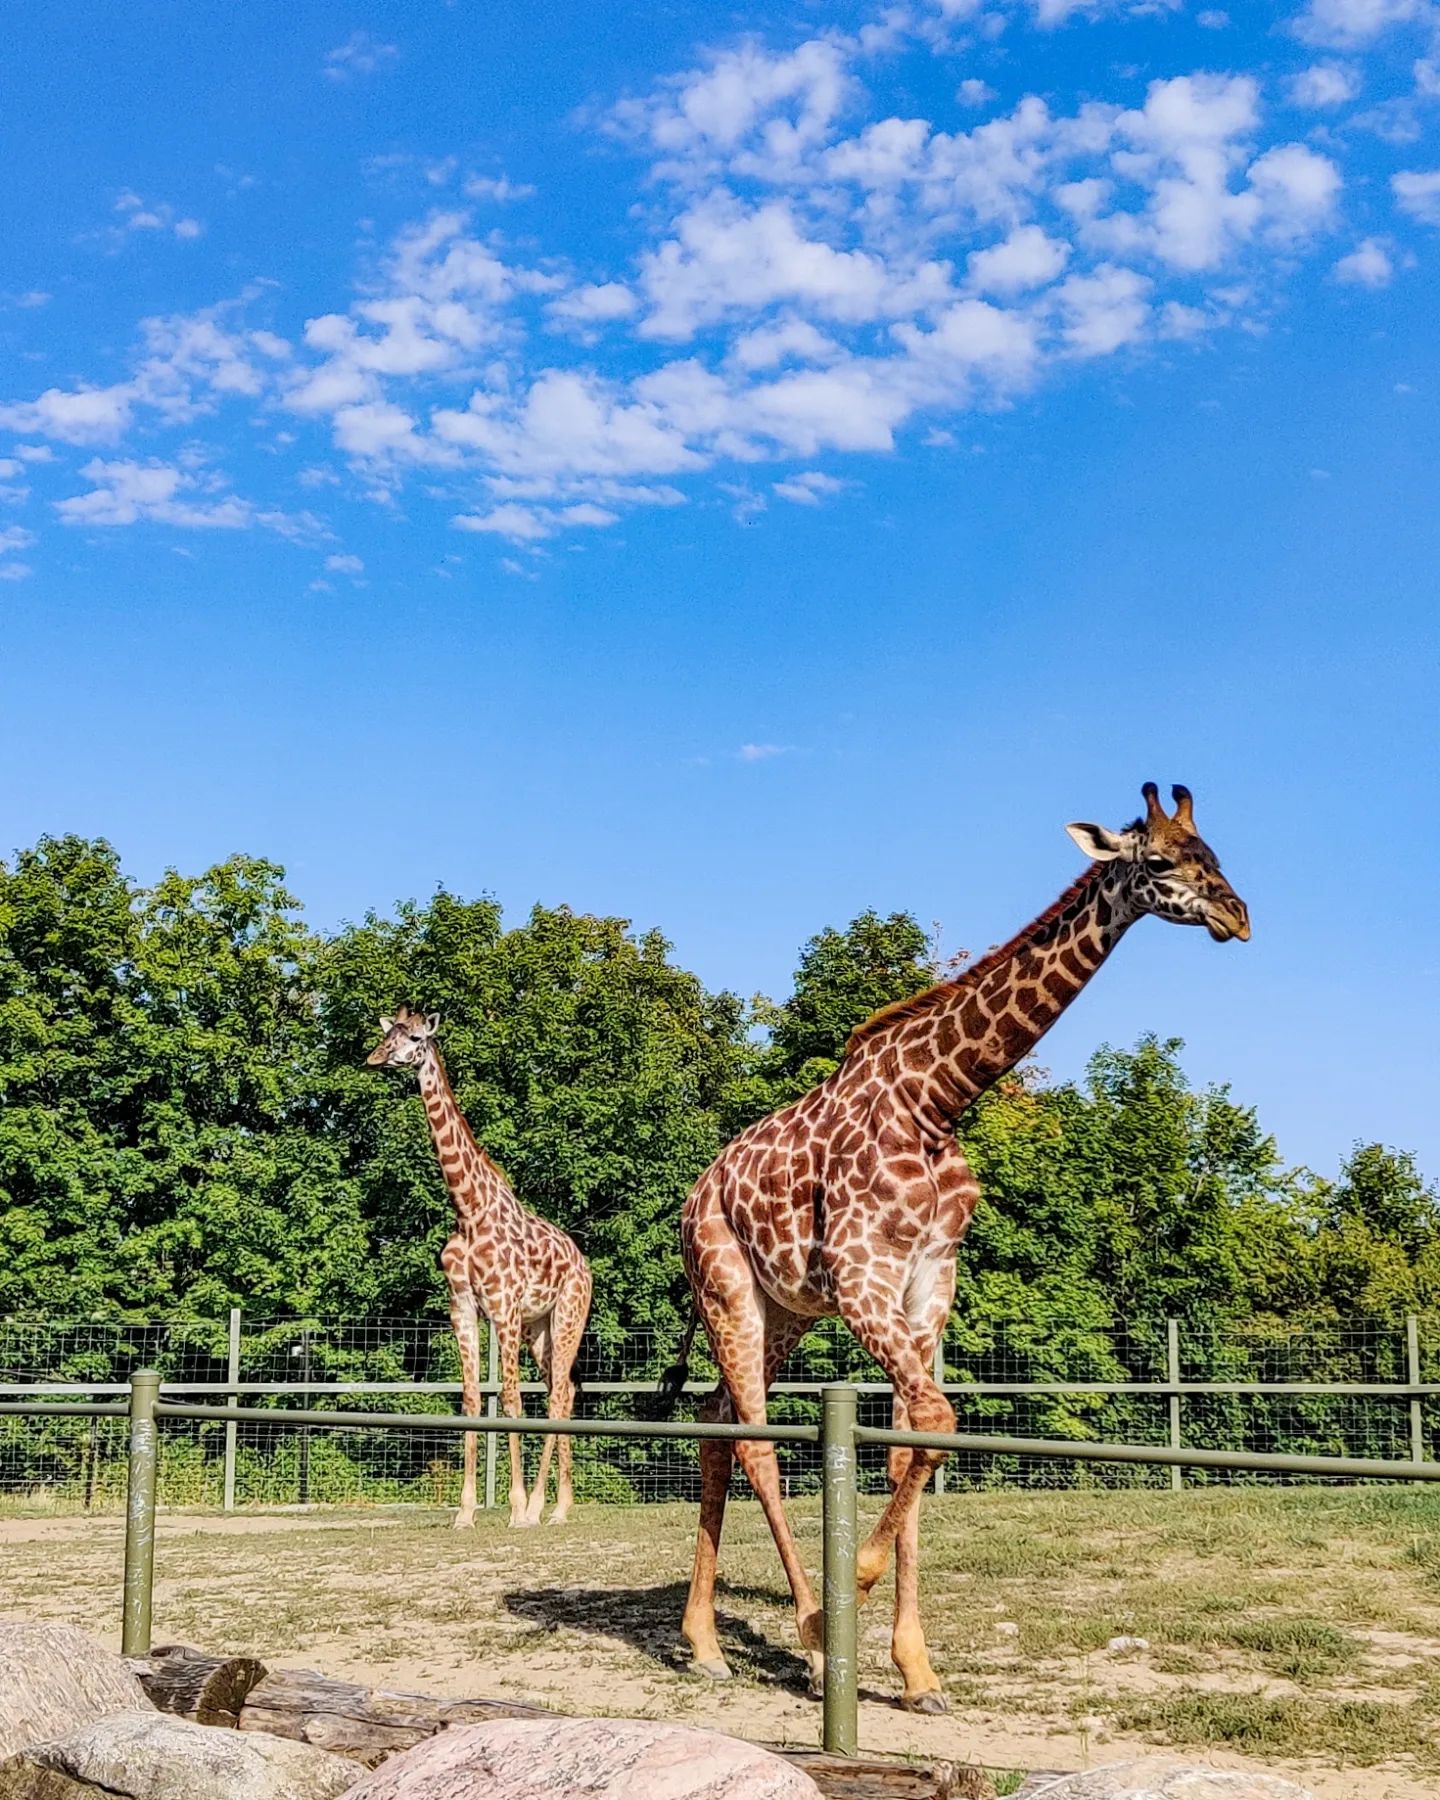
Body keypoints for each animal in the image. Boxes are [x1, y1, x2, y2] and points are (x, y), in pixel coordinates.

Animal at [370, 1008, 597, 1526]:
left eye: (415, 1037)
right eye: (387, 1035)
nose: (374, 1058)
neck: (468, 1210)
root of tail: (583, 1264)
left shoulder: (504, 1307)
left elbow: (510, 1399)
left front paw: (514, 1507)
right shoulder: (463, 1306)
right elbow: (472, 1398)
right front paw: (465, 1511)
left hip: (567, 1314)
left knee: (558, 1394)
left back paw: (541, 1509)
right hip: (539, 1329)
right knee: (562, 1389)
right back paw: (559, 1506)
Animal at [676, 788, 1245, 1713]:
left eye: (1216, 856)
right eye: (1160, 861)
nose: (1238, 916)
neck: (936, 1099)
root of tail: (694, 1196)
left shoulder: (927, 1280)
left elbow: (918, 1438)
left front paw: (917, 1672)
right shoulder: (863, 1275)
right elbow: (936, 1421)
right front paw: (847, 1596)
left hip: (783, 1308)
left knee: (717, 1422)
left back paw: (704, 1643)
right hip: (726, 1284)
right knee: (756, 1440)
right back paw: (806, 1635)